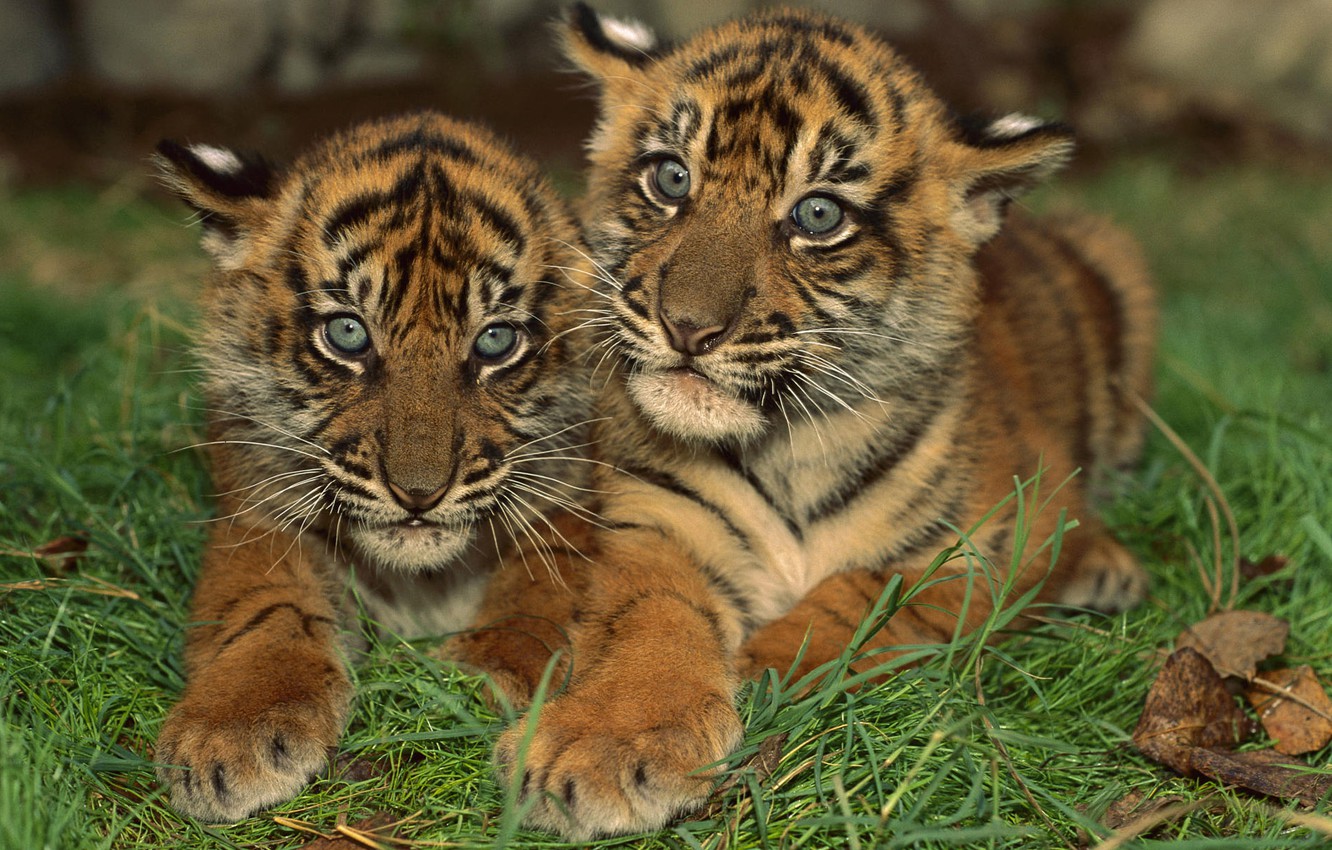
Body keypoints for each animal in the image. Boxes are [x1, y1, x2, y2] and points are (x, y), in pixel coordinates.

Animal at [152, 111, 596, 822]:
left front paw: (478, 678)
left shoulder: (572, 507)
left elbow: (536, 598)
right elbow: (265, 608)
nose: (418, 494)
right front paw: (231, 730)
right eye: (348, 334)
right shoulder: (257, 515)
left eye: (495, 340)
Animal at [454, 5, 1157, 839]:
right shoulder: (656, 523)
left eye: (818, 215)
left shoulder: (997, 536)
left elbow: (865, 592)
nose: (687, 327)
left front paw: (761, 664)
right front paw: (605, 743)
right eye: (671, 177)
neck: (787, 444)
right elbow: (650, 620)